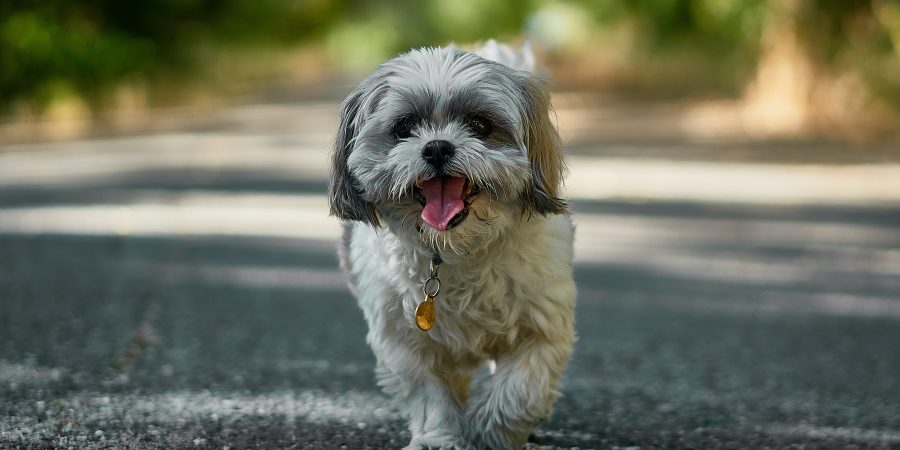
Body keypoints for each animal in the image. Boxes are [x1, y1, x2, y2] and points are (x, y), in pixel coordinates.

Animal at [330, 41, 576, 446]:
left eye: (480, 125)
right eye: (404, 127)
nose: (437, 147)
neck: (454, 250)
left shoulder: (540, 328)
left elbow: (520, 390)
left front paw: (491, 431)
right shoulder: (403, 342)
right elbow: (430, 395)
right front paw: (439, 437)